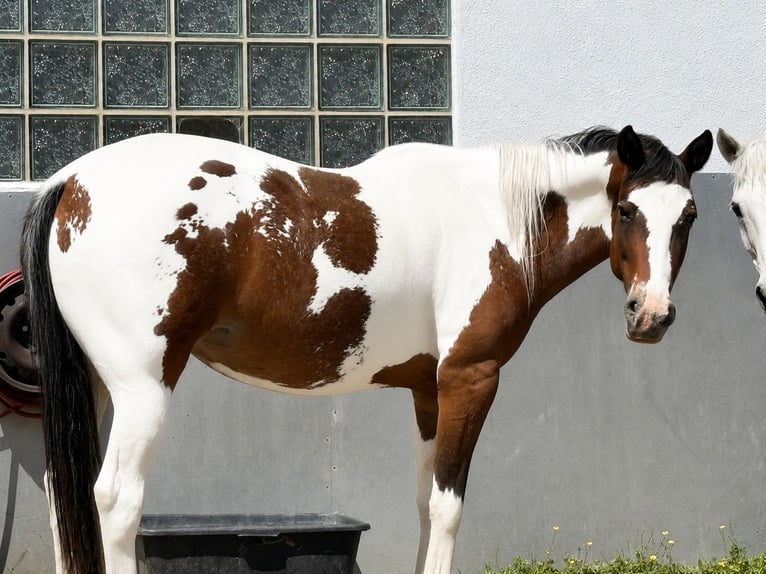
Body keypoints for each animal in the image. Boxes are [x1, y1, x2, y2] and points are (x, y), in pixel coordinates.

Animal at [20, 125, 712, 574]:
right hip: (142, 387)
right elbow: (449, 507)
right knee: (116, 500)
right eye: (627, 211)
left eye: (689, 217)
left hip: (97, 385)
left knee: (66, 495)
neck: (495, 218)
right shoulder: (471, 378)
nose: (651, 315)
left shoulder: (430, 391)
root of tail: (71, 182)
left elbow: (425, 503)